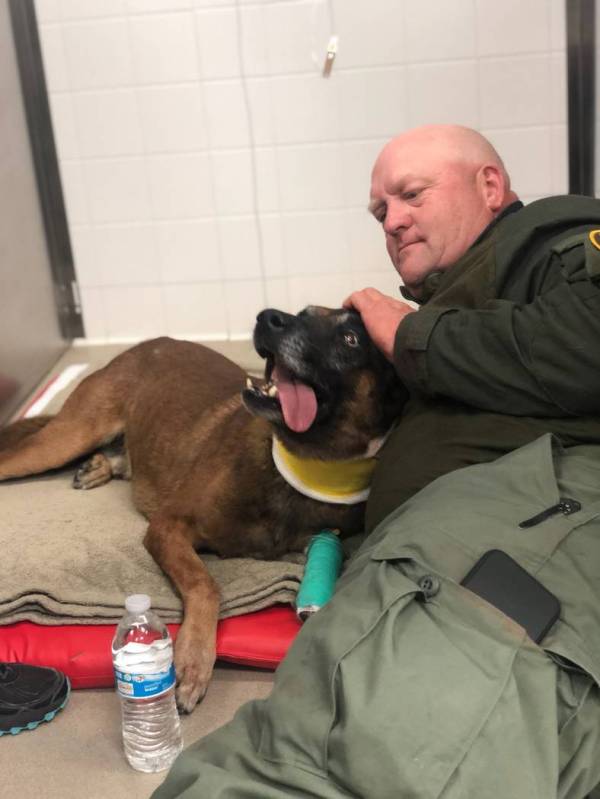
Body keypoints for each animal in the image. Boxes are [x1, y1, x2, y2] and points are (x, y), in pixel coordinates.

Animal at [0, 308, 406, 712]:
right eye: (305, 313)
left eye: (350, 339)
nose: (268, 317)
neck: (297, 465)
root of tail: (150, 344)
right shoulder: (167, 526)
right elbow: (206, 583)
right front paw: (193, 659)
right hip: (69, 436)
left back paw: (100, 465)